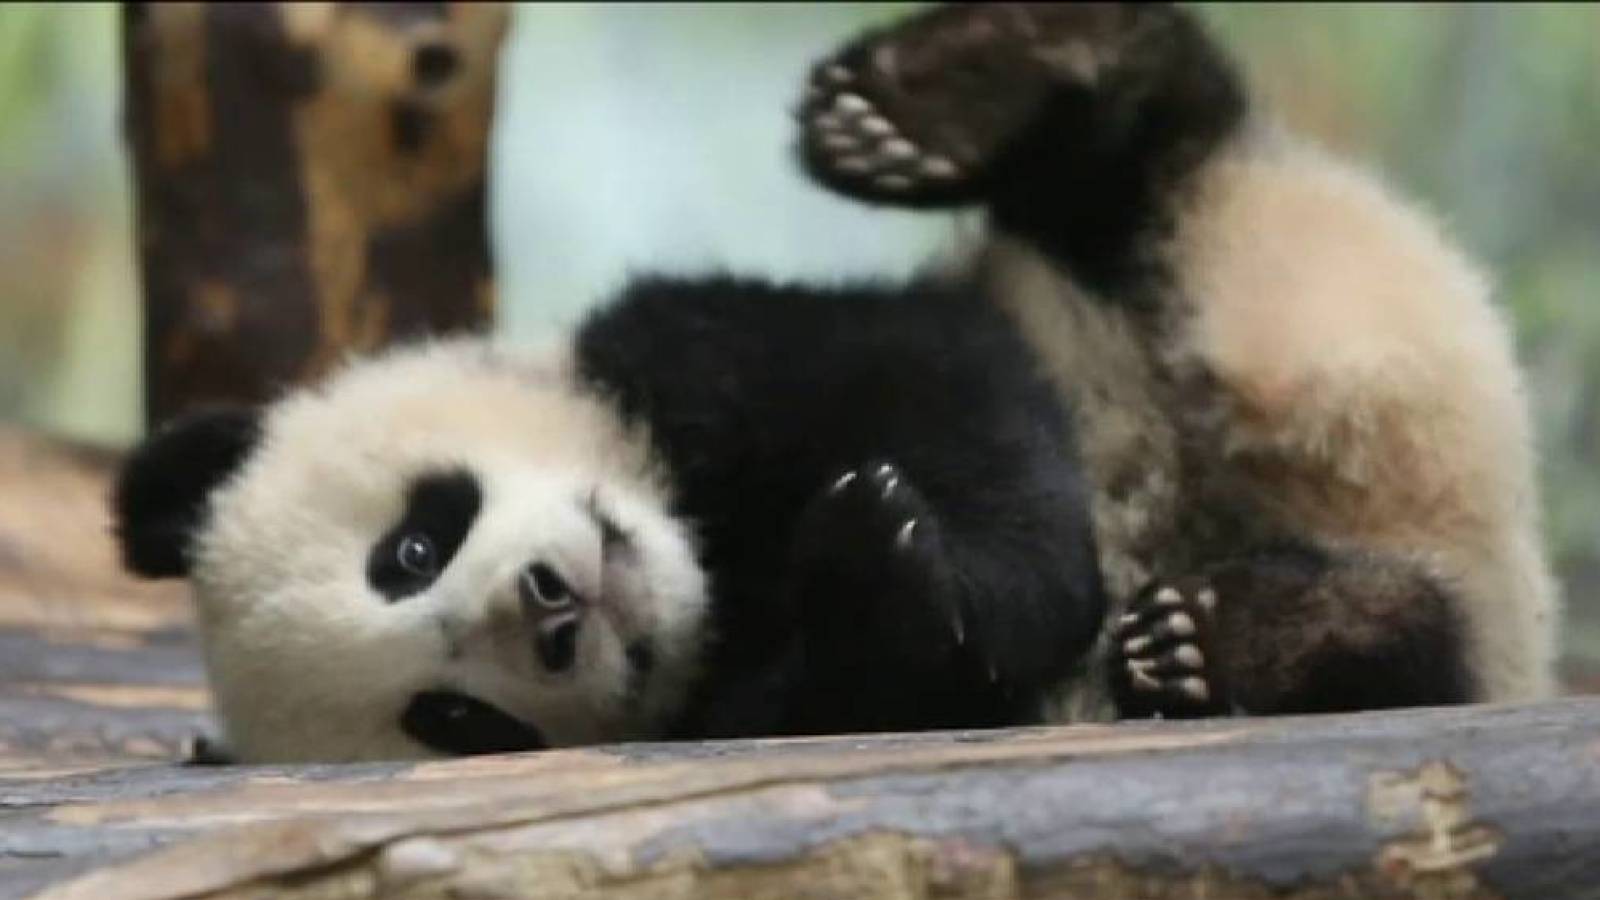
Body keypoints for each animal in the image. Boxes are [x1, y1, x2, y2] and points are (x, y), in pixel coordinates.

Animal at [113, 2, 1557, 762]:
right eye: (457, 717)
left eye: (410, 546)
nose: (553, 603)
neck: (713, 559)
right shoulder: (729, 706)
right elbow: (866, 694)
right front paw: (875, 580)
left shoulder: (677, 341)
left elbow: (935, 389)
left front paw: (911, 544)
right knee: (1429, 650)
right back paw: (1266, 634)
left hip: (1284, 291)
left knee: (1146, 159)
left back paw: (949, 101)